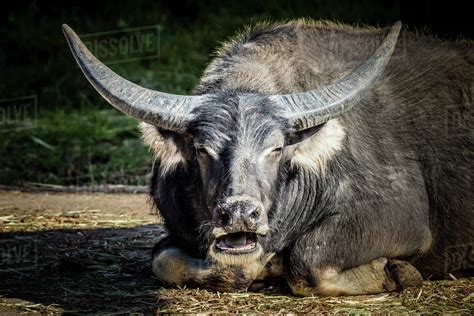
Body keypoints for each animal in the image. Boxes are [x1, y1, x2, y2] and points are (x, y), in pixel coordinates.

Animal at [62, 19, 470, 296]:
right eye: (202, 149)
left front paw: (397, 272)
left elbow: (309, 259)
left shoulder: (403, 219)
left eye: (275, 149)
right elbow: (166, 261)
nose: (240, 213)